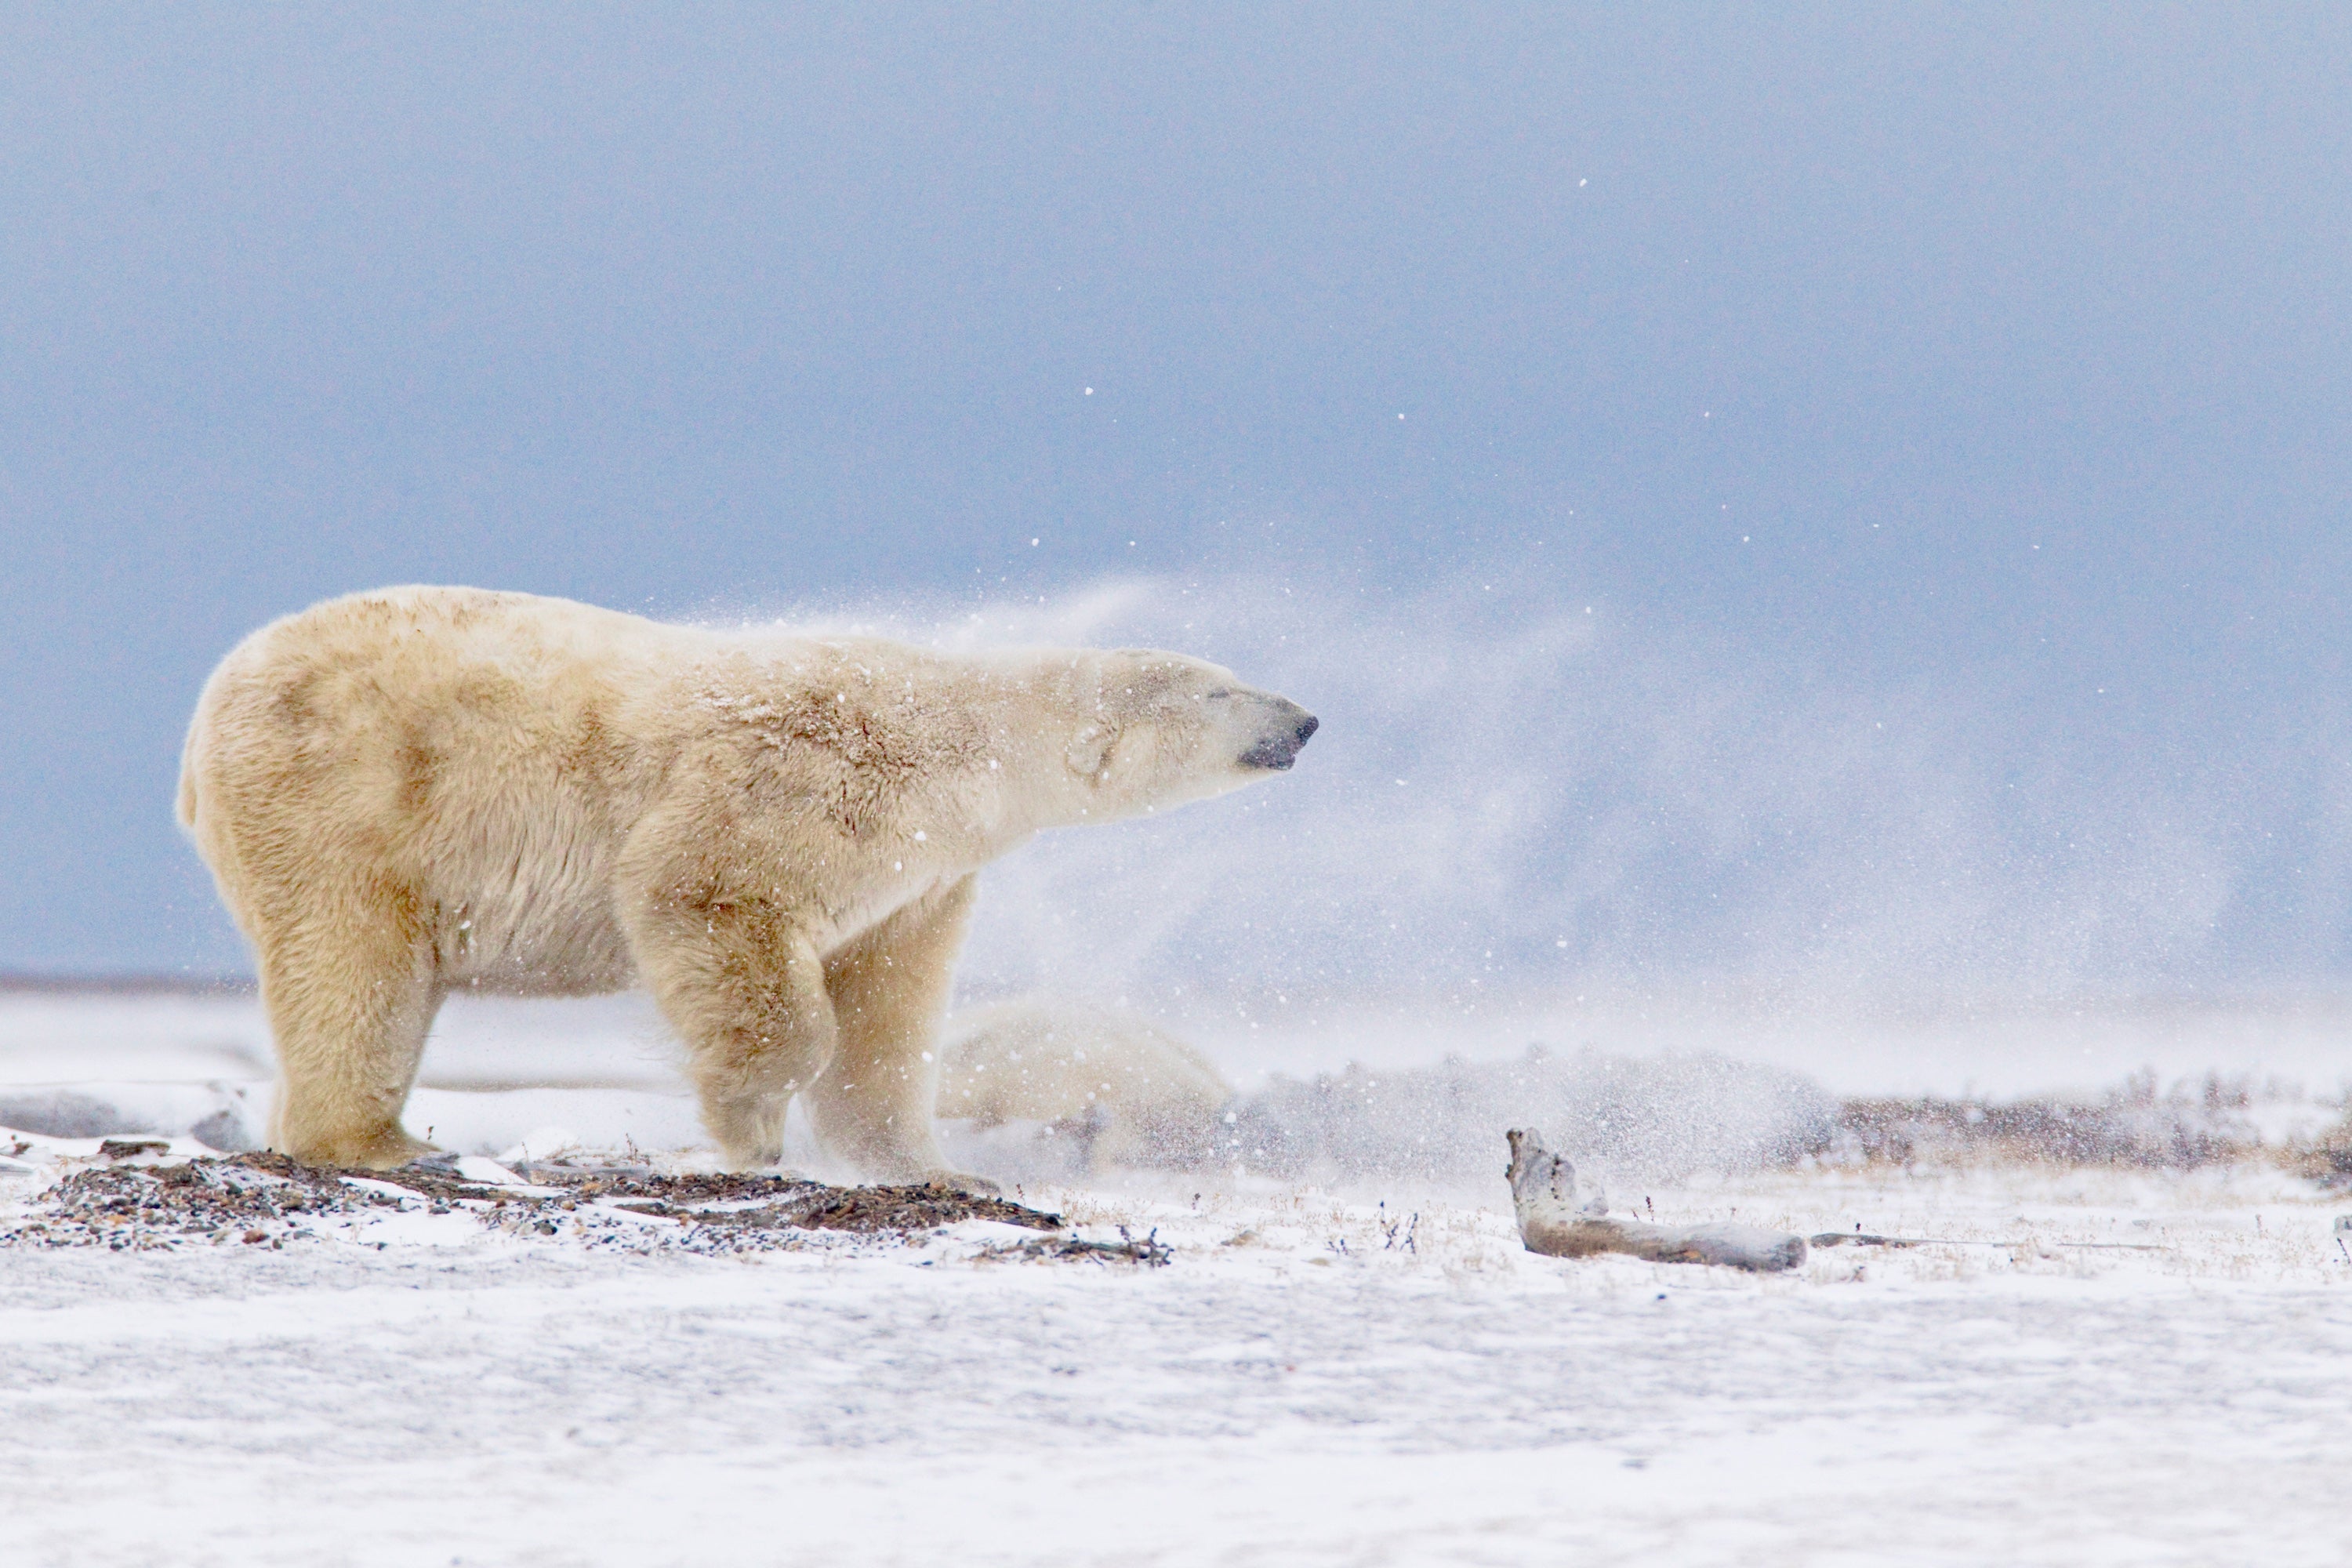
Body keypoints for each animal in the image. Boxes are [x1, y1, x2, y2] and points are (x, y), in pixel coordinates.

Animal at [175, 585, 1316, 1181]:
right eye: (1220, 690)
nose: (1304, 719)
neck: (959, 738)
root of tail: (203, 718)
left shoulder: (921, 873)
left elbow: (888, 1003)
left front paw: (928, 1163)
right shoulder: (809, 777)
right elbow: (707, 892)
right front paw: (753, 1128)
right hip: (350, 799)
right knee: (353, 965)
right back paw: (384, 1140)